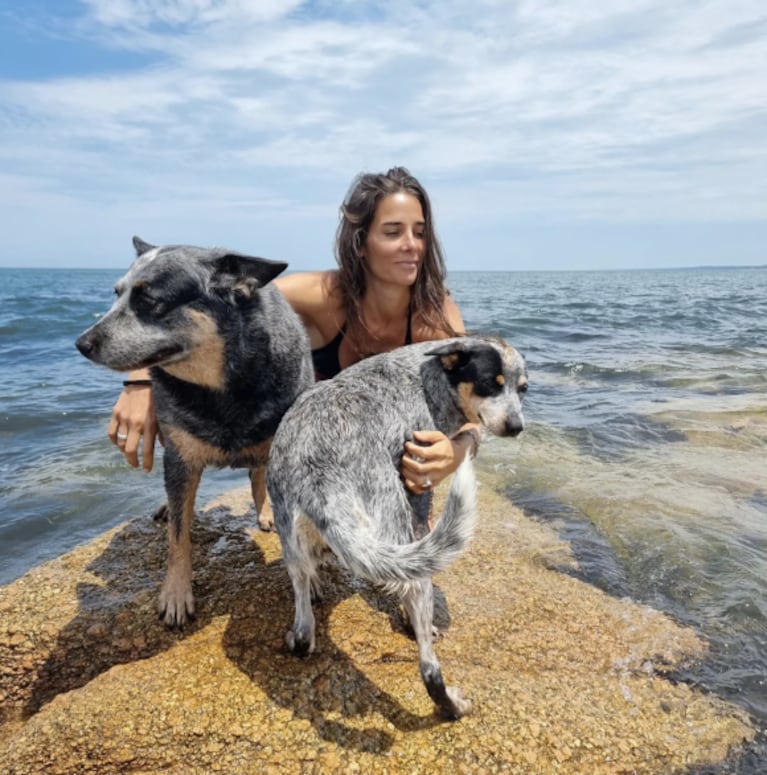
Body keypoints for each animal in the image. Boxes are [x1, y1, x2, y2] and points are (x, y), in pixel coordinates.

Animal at [77, 235, 316, 624]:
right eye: (117, 294)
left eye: (149, 299)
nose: (81, 344)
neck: (223, 388)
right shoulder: (181, 456)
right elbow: (178, 535)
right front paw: (176, 593)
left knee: (258, 476)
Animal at [266, 338, 528, 720]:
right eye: (488, 384)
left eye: (522, 389)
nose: (516, 426)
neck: (428, 380)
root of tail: (318, 475)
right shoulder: (417, 482)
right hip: (398, 532)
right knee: (428, 663)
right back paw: (450, 702)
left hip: (291, 539)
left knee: (302, 627)